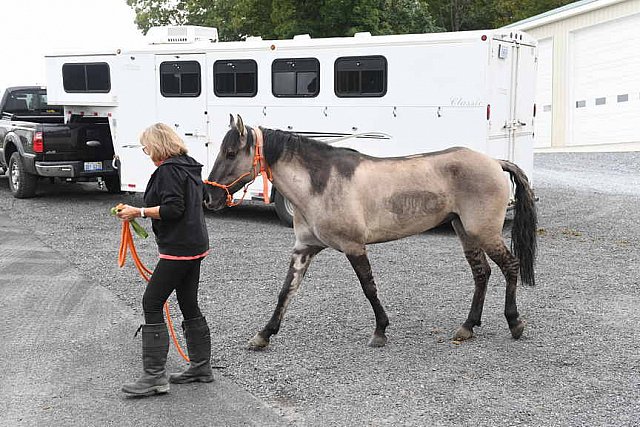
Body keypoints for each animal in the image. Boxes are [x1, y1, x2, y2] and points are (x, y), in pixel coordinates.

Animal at [205, 115, 536, 350]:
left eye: (231, 152)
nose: (210, 197)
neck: (321, 184)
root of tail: (494, 162)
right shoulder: (304, 248)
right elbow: (286, 291)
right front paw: (264, 334)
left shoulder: (354, 246)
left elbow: (369, 288)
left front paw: (380, 331)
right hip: (465, 232)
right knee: (482, 274)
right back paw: (468, 326)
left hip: (484, 232)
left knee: (510, 266)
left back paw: (515, 323)